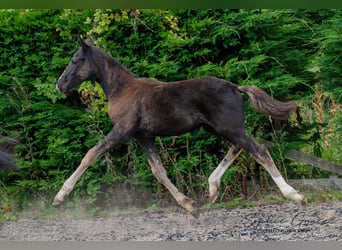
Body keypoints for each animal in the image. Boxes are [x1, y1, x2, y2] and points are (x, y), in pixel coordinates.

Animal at [54, 35, 308, 217]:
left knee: (260, 152)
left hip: (230, 128)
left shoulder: (122, 131)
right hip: (218, 128)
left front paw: (60, 196)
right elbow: (159, 172)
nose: (59, 84)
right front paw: (188, 205)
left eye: (76, 60)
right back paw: (212, 189)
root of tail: (235, 87)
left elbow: (90, 154)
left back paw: (295, 195)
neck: (122, 89)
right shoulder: (143, 137)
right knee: (237, 148)